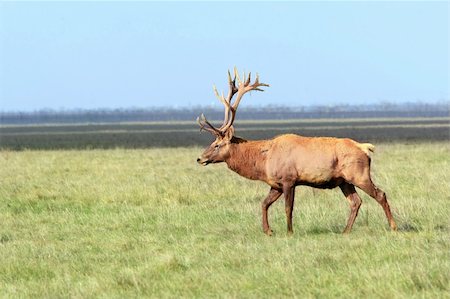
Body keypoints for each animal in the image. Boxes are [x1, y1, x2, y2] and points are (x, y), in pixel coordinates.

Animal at [197, 68, 398, 237]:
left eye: (217, 144)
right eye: (212, 142)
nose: (200, 158)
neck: (263, 161)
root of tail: (365, 148)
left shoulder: (289, 179)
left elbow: (288, 208)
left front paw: (289, 232)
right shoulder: (276, 184)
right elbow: (264, 203)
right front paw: (268, 230)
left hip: (359, 174)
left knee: (380, 194)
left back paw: (393, 226)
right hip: (344, 181)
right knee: (355, 202)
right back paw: (345, 230)